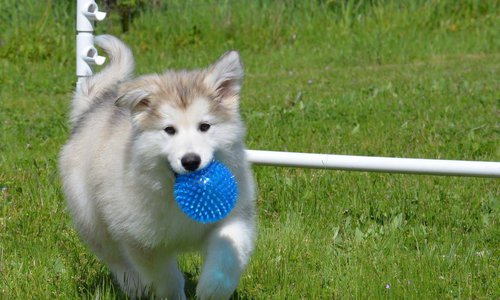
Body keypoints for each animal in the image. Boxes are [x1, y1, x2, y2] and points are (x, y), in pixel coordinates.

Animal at [60, 34, 256, 298]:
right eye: (169, 130)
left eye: (205, 126)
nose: (191, 161)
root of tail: (93, 107)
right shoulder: (143, 242)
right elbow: (167, 279)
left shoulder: (234, 216)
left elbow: (226, 254)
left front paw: (211, 289)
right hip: (92, 219)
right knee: (116, 259)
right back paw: (135, 286)